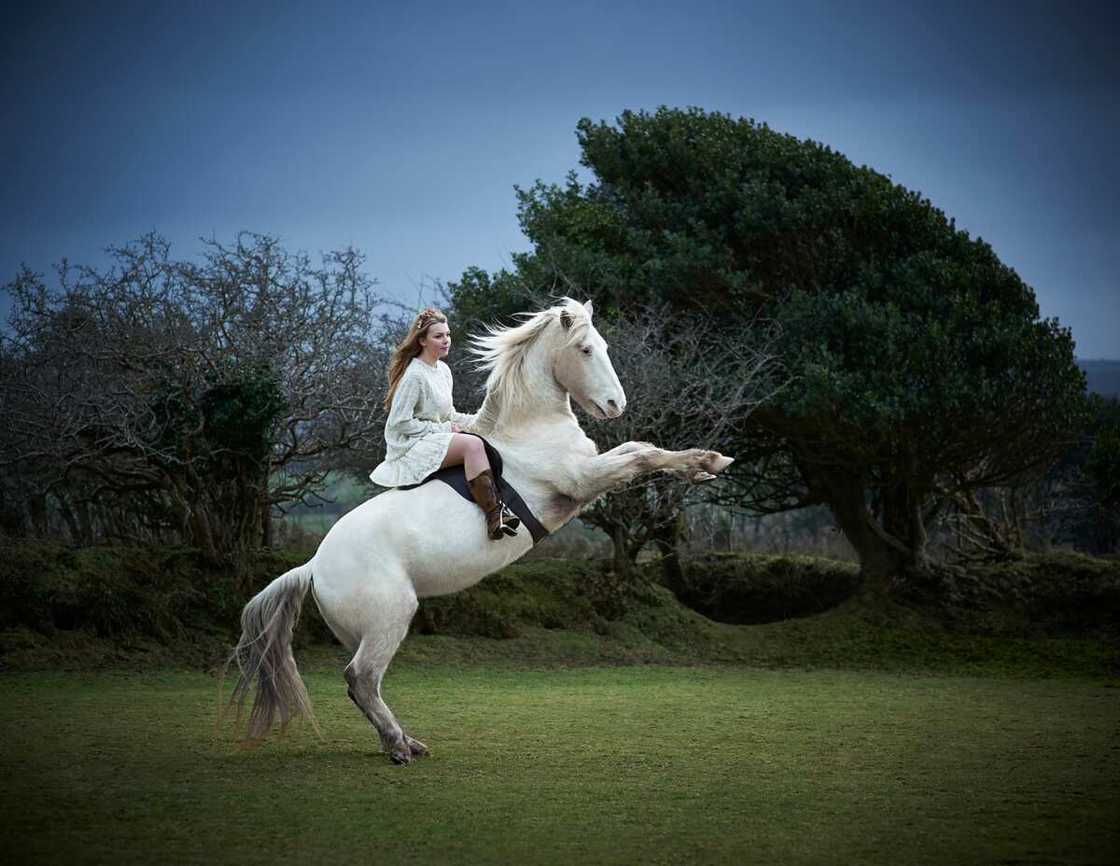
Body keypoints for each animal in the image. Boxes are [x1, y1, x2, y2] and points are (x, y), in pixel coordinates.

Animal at [227, 298, 734, 763]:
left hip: (365, 631)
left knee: (365, 683)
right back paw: (400, 747)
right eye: (586, 349)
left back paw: (405, 740)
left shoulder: (589, 474)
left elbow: (639, 447)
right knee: (361, 680)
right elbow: (642, 455)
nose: (616, 405)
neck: (531, 429)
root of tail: (314, 564)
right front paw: (709, 461)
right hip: (391, 617)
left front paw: (704, 464)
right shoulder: (581, 481)